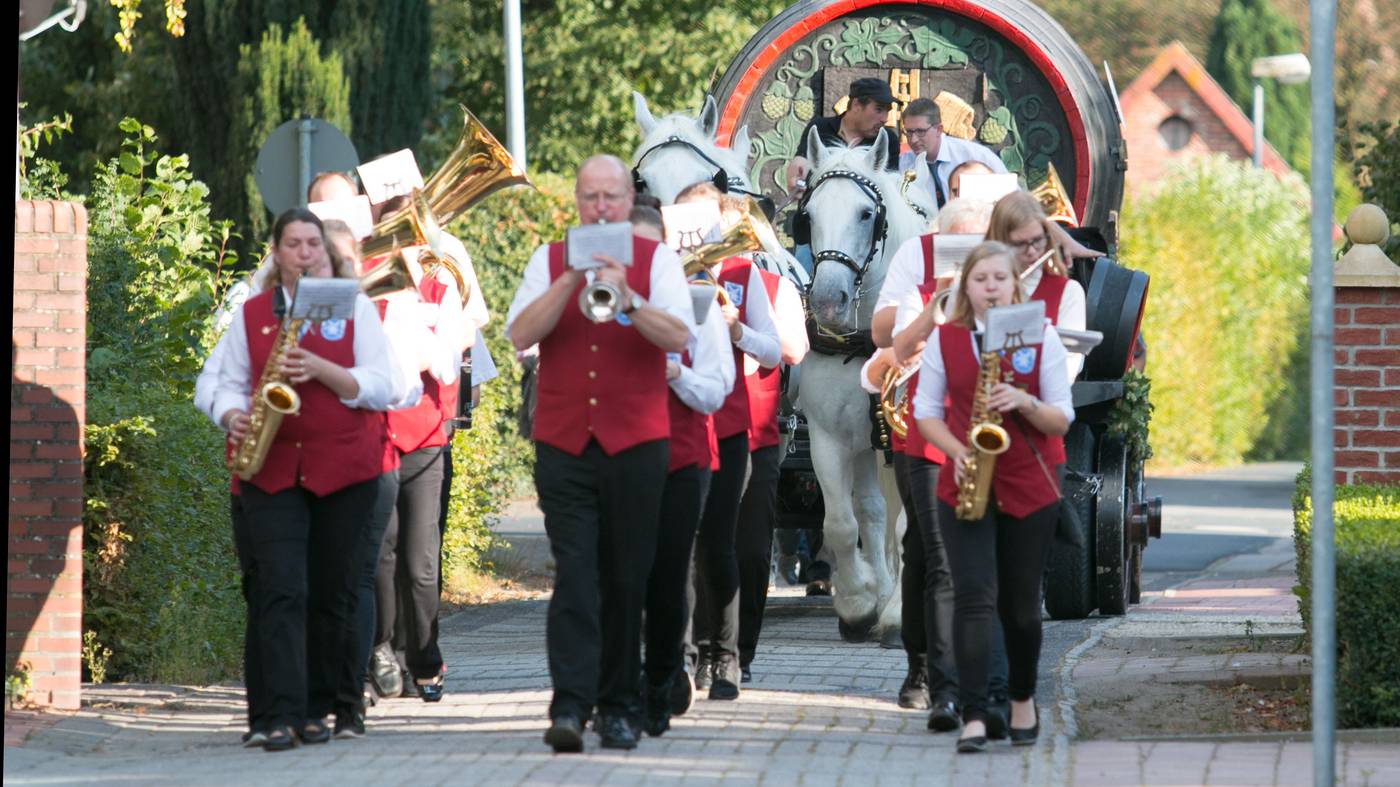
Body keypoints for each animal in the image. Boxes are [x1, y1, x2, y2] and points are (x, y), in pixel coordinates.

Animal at [795, 127, 935, 638]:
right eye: (808, 215)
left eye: (866, 213)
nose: (827, 300)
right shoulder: (829, 435)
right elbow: (841, 522)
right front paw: (858, 602)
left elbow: (909, 524)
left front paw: (897, 612)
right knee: (873, 511)